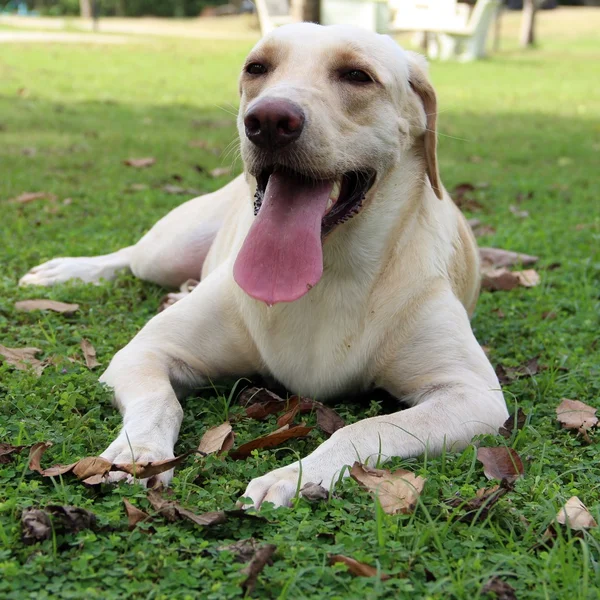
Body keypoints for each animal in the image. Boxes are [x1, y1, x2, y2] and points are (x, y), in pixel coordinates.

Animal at [19, 23, 506, 506]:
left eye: (357, 75)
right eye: (257, 68)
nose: (269, 120)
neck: (329, 272)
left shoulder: (472, 396)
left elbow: (367, 427)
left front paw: (293, 476)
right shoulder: (143, 352)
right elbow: (160, 400)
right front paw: (139, 451)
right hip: (166, 251)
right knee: (129, 256)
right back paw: (69, 270)